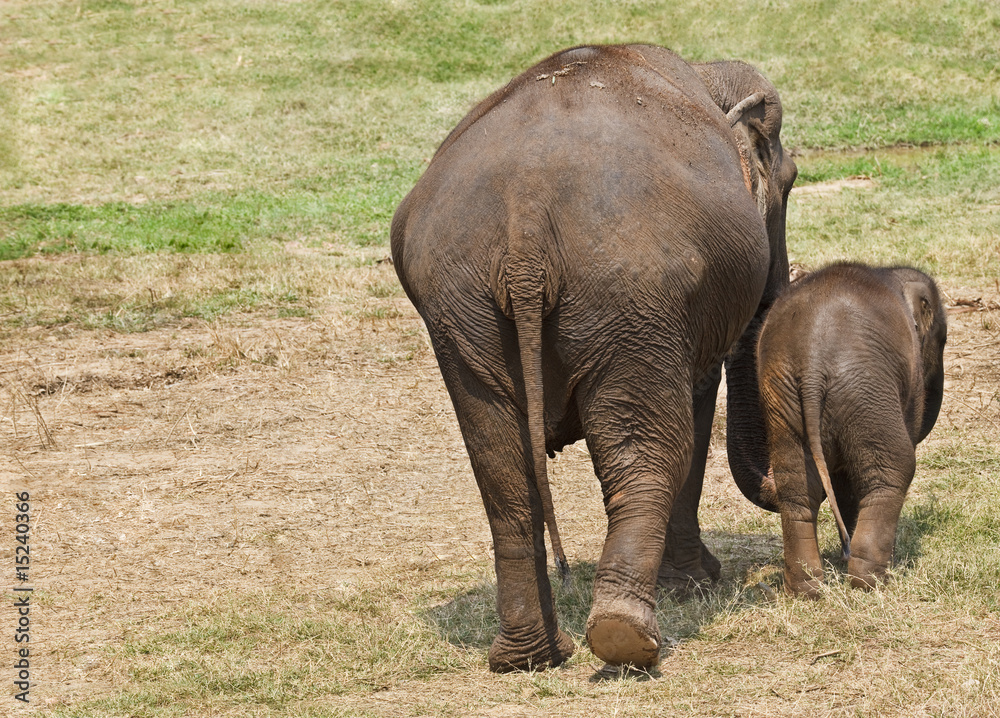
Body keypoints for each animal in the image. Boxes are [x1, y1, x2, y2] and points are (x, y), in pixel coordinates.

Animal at [391, 44, 797, 671]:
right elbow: (696, 407)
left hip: (462, 311)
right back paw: (625, 638)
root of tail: (526, 227)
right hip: (630, 299)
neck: (706, 74)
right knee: (649, 452)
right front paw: (695, 585)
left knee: (500, 466)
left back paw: (530, 656)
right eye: (792, 182)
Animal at [755, 263, 947, 597]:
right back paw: (871, 582)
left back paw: (806, 590)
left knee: (796, 487)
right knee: (893, 470)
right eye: (944, 340)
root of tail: (811, 364)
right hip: (865, 392)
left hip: (783, 400)